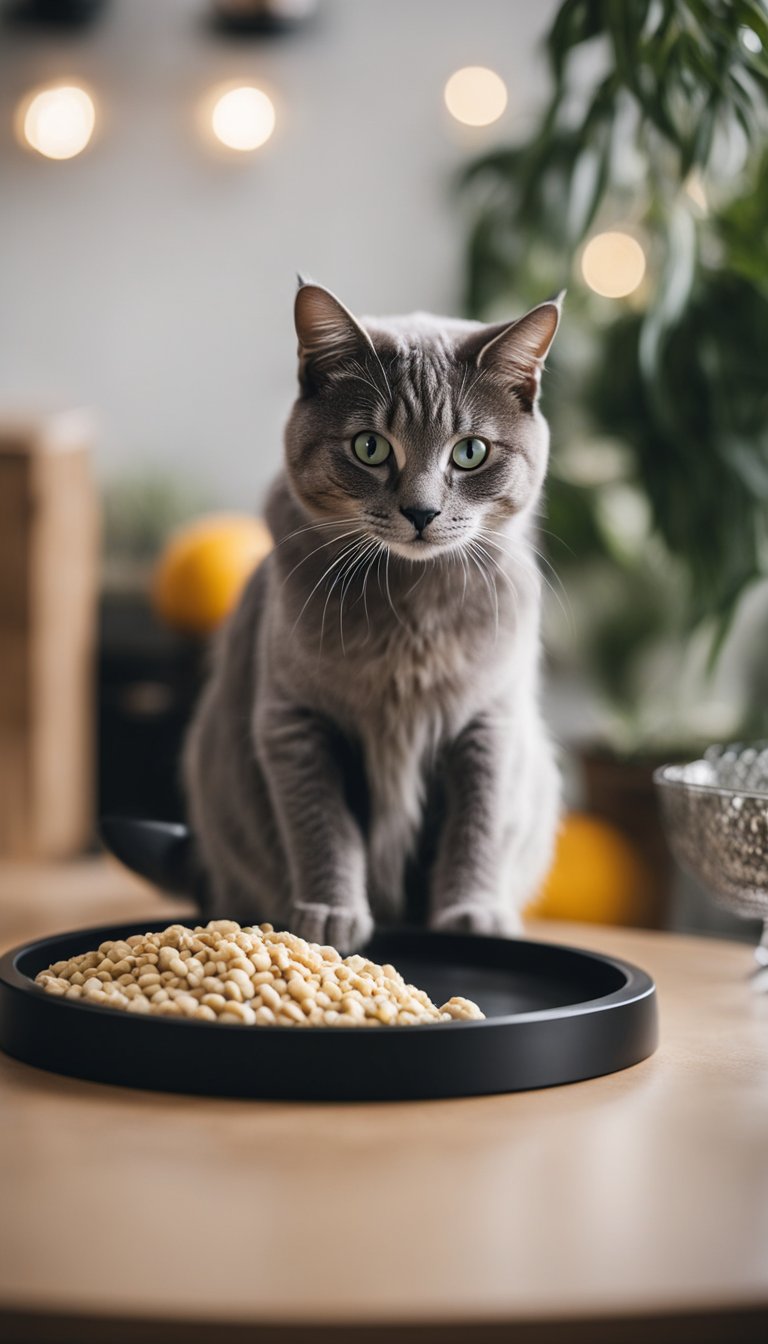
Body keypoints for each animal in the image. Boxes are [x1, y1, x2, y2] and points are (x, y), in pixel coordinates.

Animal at [182, 284, 562, 956]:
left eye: (470, 452)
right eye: (370, 447)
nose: (422, 511)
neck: (410, 611)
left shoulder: (490, 723)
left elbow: (478, 825)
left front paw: (471, 914)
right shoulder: (294, 720)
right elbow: (323, 826)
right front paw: (330, 915)